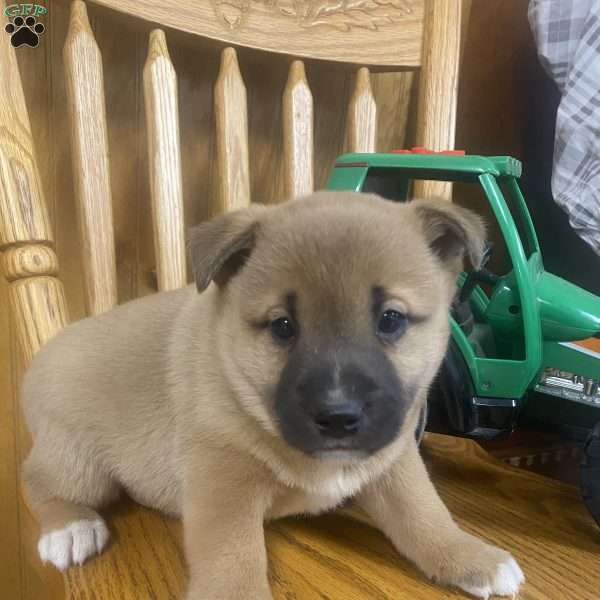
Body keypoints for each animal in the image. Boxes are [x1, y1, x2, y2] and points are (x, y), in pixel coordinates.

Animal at [21, 193, 524, 600]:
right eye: (283, 326)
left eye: (391, 319)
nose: (338, 416)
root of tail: (41, 359)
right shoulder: (222, 484)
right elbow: (233, 561)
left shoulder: (393, 461)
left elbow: (426, 515)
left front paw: (471, 557)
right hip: (80, 465)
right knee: (37, 480)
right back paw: (70, 528)